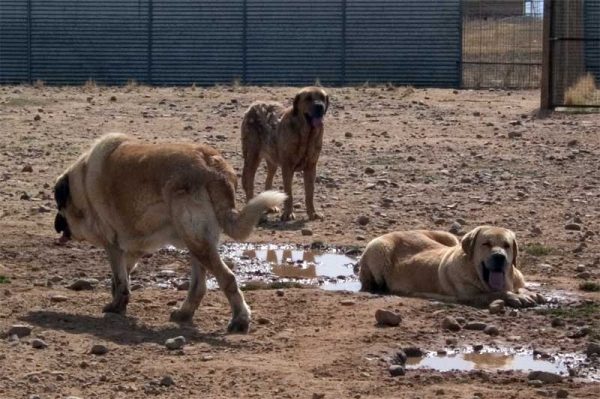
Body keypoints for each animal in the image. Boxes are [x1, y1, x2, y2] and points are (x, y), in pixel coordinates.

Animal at [53, 133, 286, 332]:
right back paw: (184, 313)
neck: (81, 183)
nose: (56, 225)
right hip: (197, 241)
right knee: (198, 286)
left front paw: (116, 306)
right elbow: (123, 275)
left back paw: (240, 319)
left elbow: (120, 279)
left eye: (59, 206)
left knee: (227, 278)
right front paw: (120, 300)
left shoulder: (112, 245)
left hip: (196, 241)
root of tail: (212, 165)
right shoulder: (132, 247)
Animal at [241, 86, 330, 222]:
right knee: (249, 182)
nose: (319, 106)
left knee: (268, 180)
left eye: (322, 98)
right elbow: (289, 192)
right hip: (252, 156)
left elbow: (310, 193)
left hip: (272, 160)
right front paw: (288, 213)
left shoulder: (311, 167)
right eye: (308, 98)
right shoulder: (287, 167)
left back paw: (270, 207)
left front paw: (312, 213)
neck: (306, 134)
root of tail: (253, 106)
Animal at [358, 227, 548, 308]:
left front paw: (527, 293)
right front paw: (517, 297)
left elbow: (519, 288)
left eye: (507, 245)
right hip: (378, 247)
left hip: (449, 237)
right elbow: (498, 293)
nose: (499, 257)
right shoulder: (470, 295)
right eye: (486, 244)